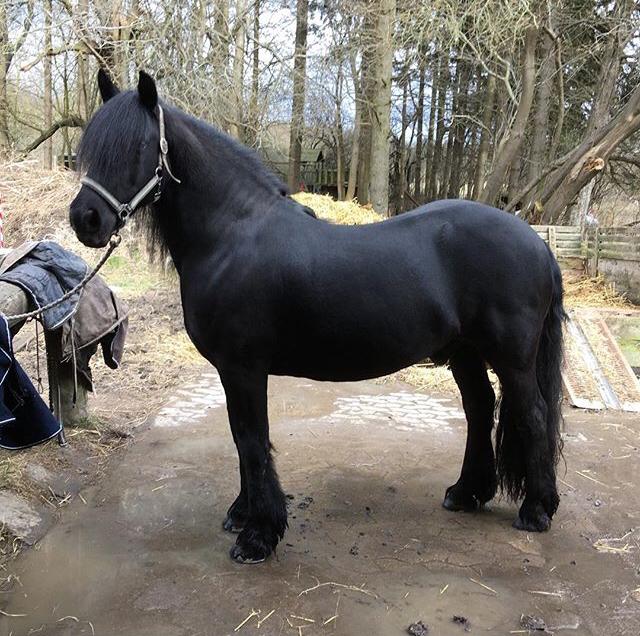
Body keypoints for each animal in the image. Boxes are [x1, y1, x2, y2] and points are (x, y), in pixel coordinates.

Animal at [70, 70, 565, 564]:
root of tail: (538, 245)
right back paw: (466, 493)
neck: (231, 235)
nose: (85, 219)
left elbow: (251, 439)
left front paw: (259, 535)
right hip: (463, 352)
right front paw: (243, 515)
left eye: (137, 147)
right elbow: (241, 438)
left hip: (512, 358)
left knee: (533, 414)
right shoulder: (233, 371)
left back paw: (537, 510)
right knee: (480, 407)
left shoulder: (243, 367)